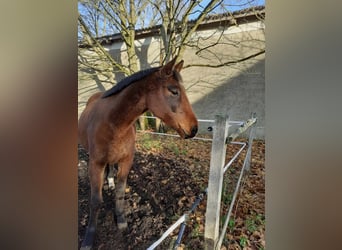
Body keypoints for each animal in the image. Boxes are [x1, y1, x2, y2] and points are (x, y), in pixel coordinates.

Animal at [78, 57, 198, 249]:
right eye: (173, 91)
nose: (194, 129)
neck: (114, 124)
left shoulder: (127, 160)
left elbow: (120, 192)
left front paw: (121, 220)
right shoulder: (95, 164)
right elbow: (95, 201)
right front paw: (88, 239)